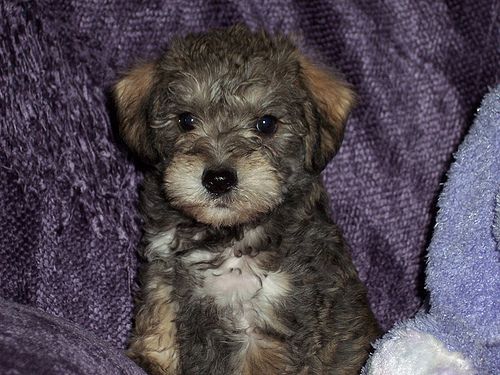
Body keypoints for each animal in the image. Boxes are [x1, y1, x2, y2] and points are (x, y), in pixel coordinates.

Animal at [114, 25, 378, 374]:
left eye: (266, 123)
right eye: (186, 120)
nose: (218, 179)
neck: (225, 234)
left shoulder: (268, 322)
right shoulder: (164, 273)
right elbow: (159, 318)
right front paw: (151, 360)